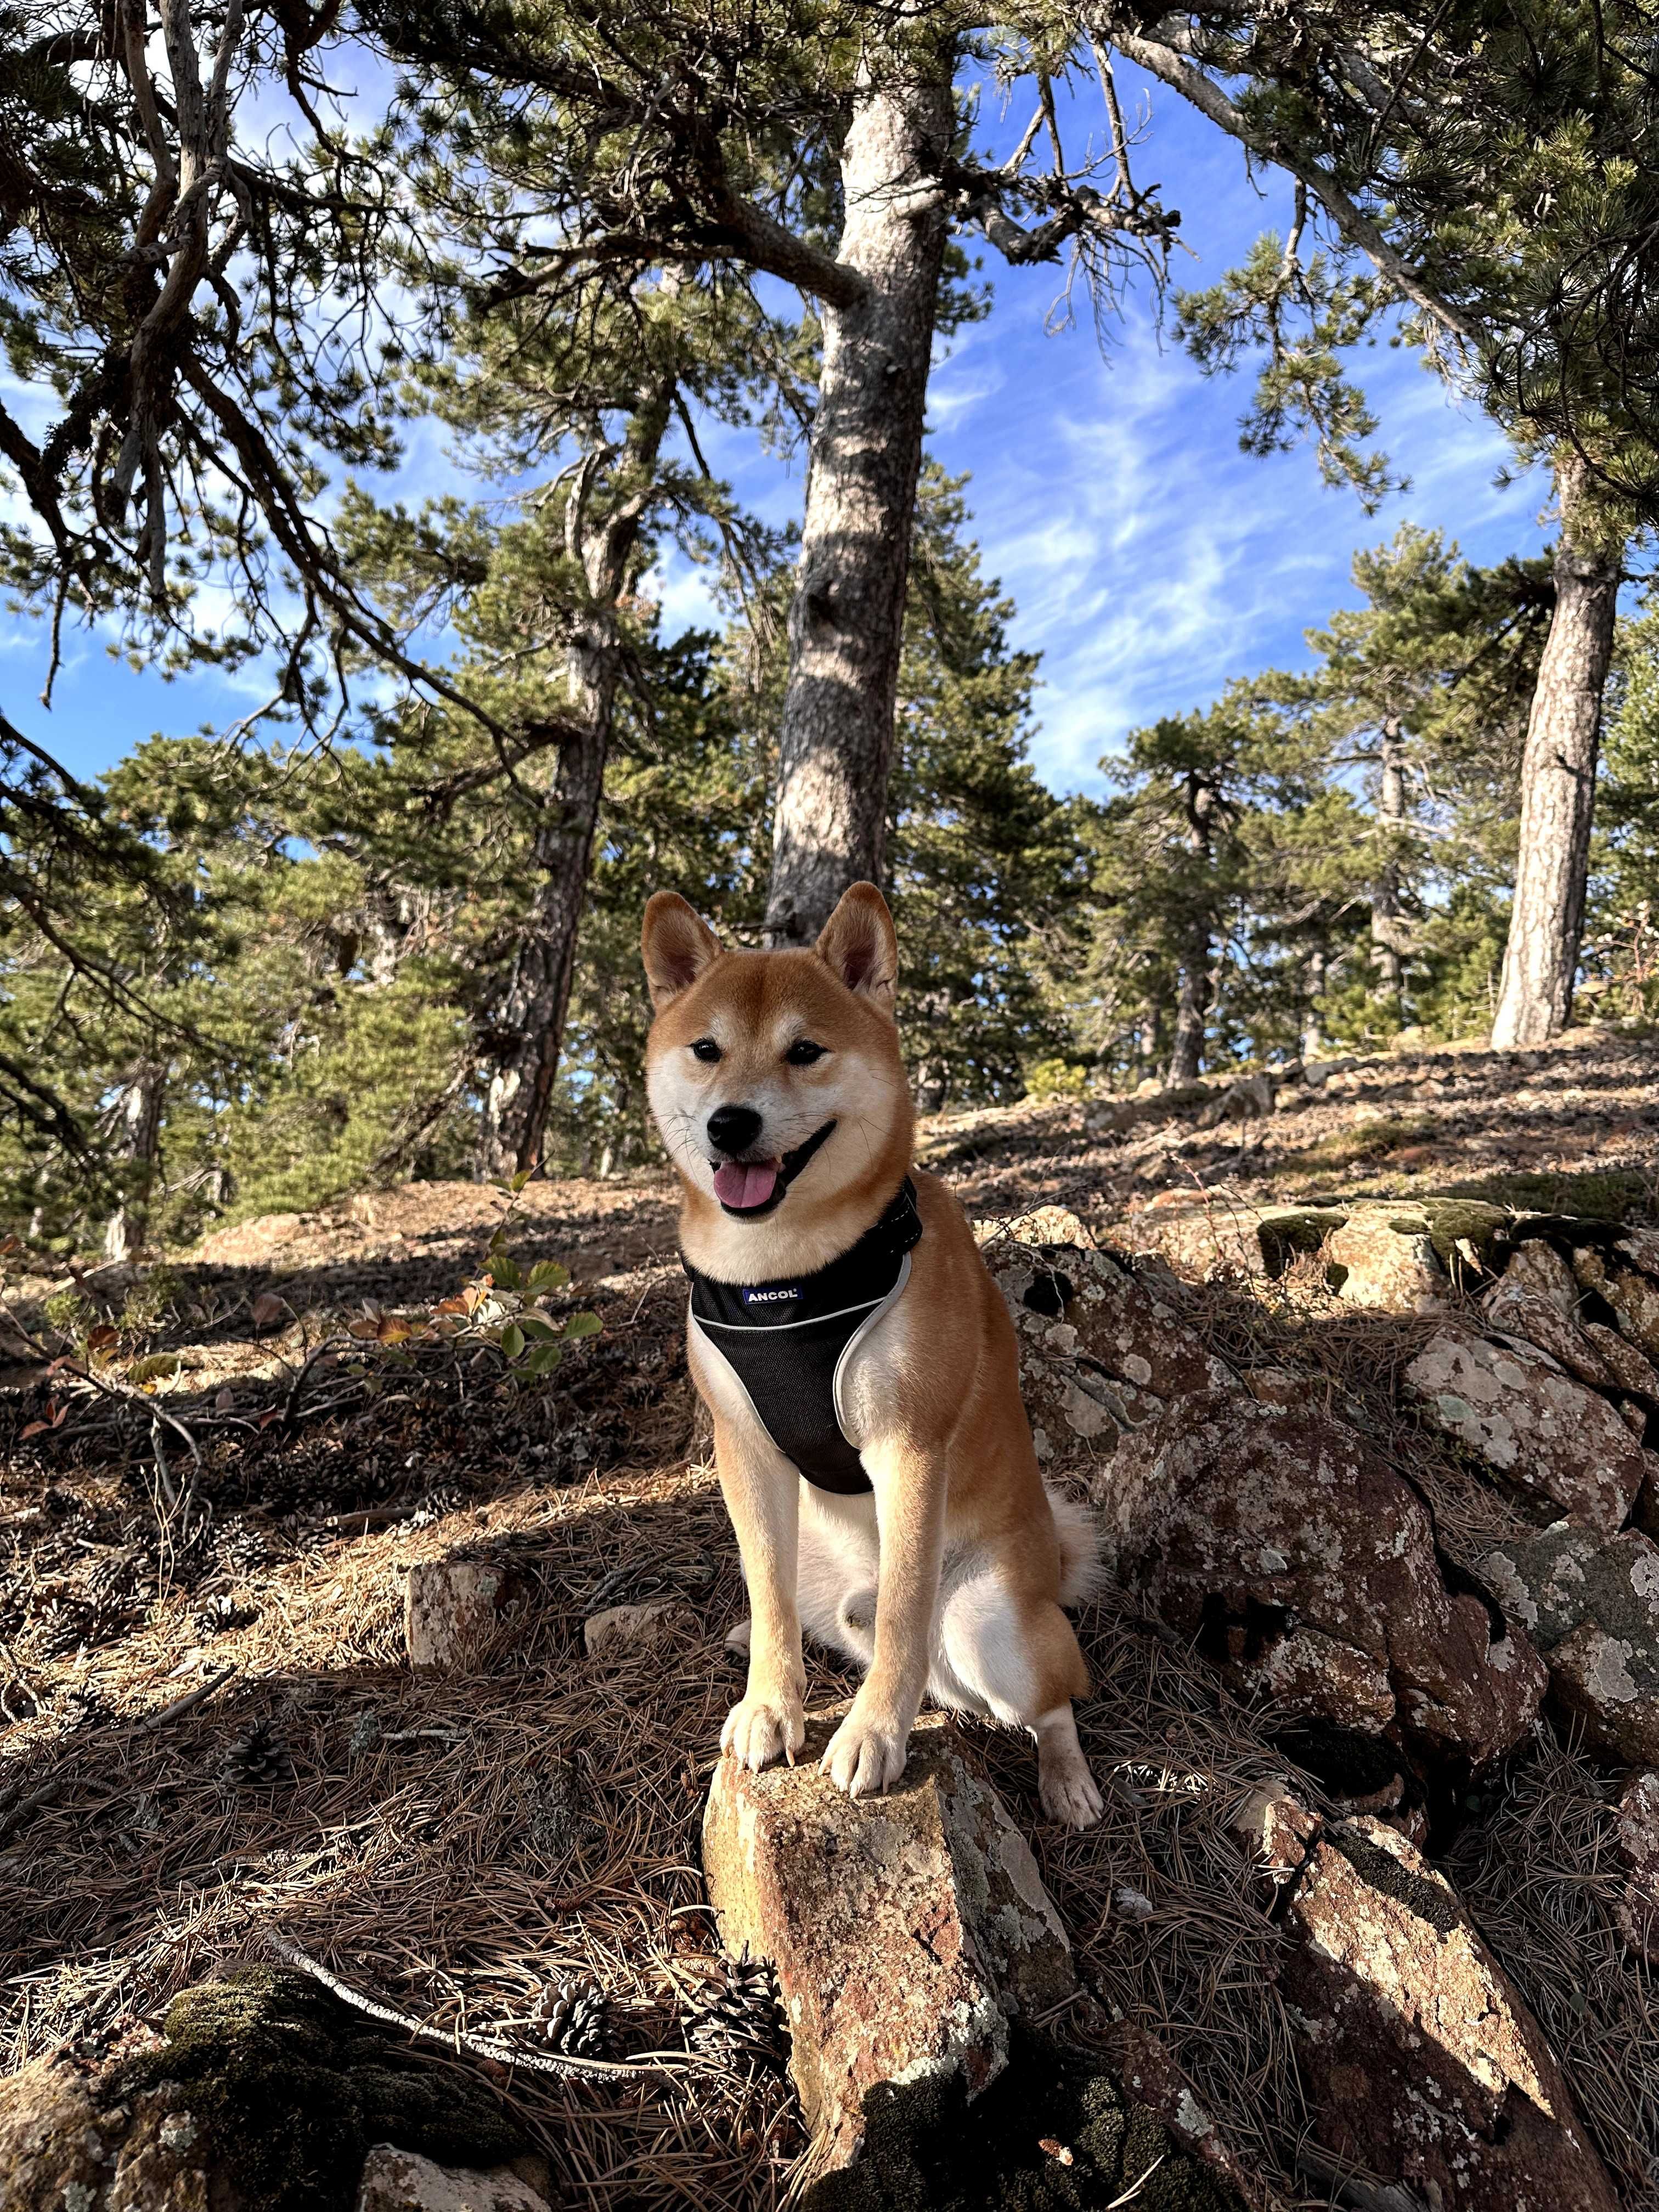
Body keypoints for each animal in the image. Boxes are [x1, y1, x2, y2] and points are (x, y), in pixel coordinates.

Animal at [646, 871, 1106, 1822]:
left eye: (805, 1051)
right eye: (706, 1049)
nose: (731, 1124)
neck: (785, 1274)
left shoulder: (909, 1446)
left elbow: (903, 1610)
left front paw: (874, 1734)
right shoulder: (745, 1453)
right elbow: (768, 1593)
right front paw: (770, 1706)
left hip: (994, 1627)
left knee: (1049, 1700)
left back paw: (1067, 1779)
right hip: (827, 1579)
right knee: (820, 1620)